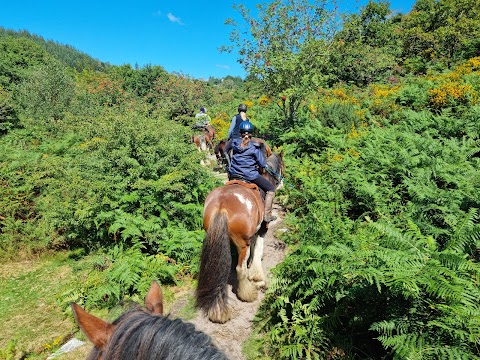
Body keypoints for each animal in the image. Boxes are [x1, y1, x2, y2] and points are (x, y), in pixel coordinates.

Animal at [196, 150, 284, 322]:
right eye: (283, 165)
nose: (281, 182)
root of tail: (221, 204)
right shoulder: (263, 228)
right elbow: (258, 248)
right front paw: (257, 277)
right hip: (242, 243)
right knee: (239, 269)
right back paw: (247, 294)